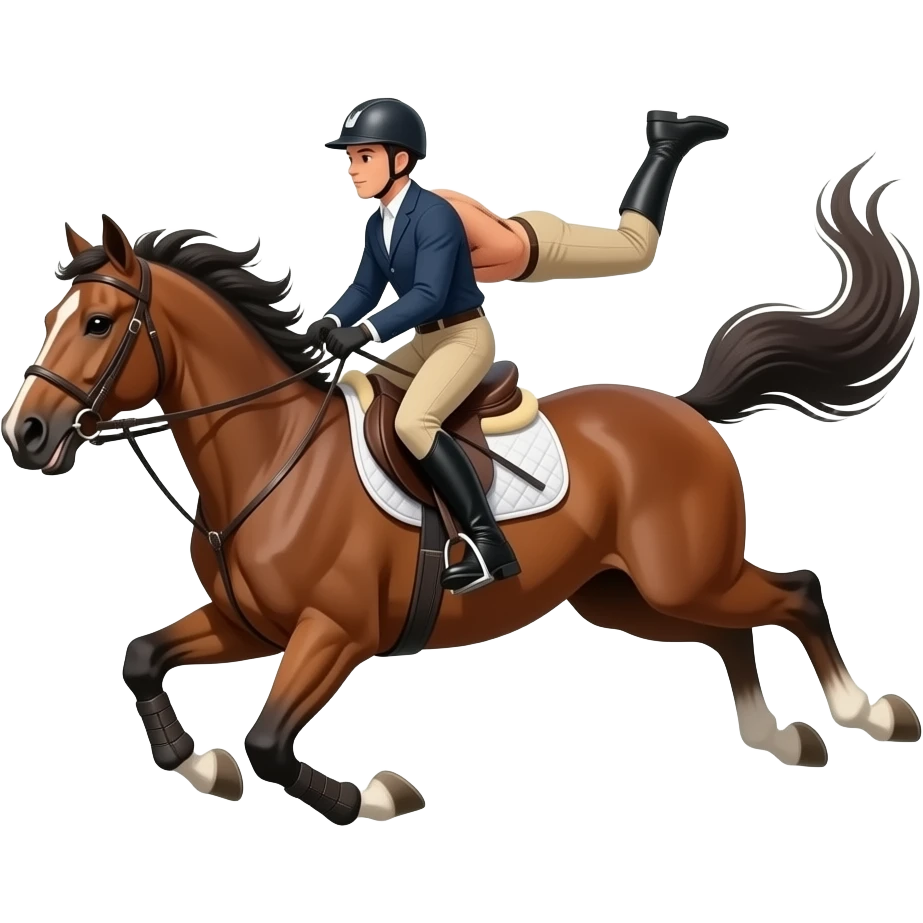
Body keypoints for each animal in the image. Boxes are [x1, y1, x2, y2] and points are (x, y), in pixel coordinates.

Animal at [2, 151, 919, 825]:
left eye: (97, 323)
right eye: (51, 316)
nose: (26, 436)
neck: (268, 463)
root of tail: (687, 410)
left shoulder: (335, 633)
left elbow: (268, 741)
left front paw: (375, 794)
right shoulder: (247, 621)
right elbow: (141, 656)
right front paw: (199, 764)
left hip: (681, 577)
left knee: (794, 591)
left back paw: (866, 712)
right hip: (629, 594)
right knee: (730, 628)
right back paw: (776, 732)